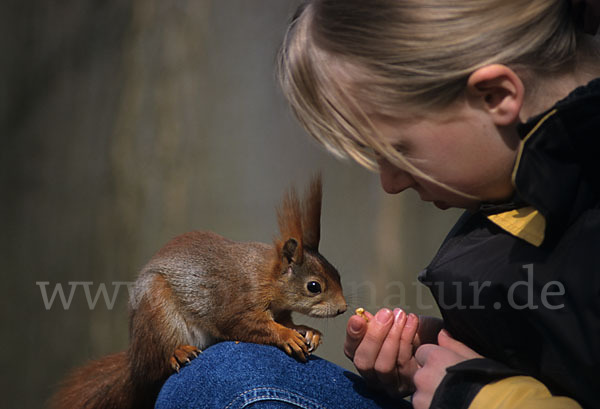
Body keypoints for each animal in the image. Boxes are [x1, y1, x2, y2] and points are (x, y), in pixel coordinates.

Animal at [54, 175, 350, 408]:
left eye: (338, 273)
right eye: (314, 286)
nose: (343, 308)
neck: (267, 278)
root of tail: (134, 359)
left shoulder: (280, 310)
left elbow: (287, 321)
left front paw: (308, 332)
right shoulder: (236, 303)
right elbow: (247, 325)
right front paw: (288, 336)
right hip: (157, 314)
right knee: (154, 365)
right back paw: (178, 354)